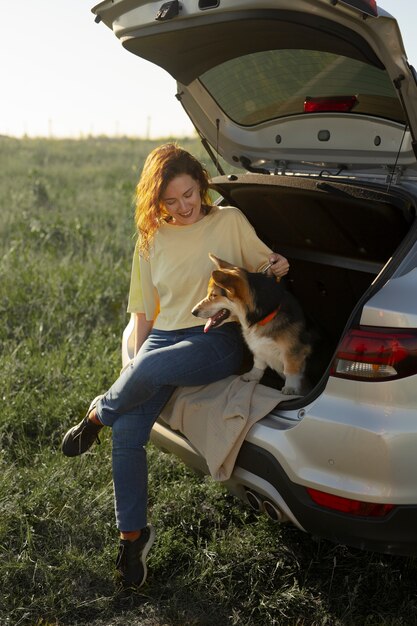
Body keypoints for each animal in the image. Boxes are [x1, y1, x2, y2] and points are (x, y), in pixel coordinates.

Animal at [190, 252, 310, 390]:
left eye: (214, 295)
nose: (193, 312)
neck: (264, 316)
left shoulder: (293, 351)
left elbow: (291, 371)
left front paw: (291, 388)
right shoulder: (259, 349)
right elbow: (258, 362)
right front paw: (253, 376)